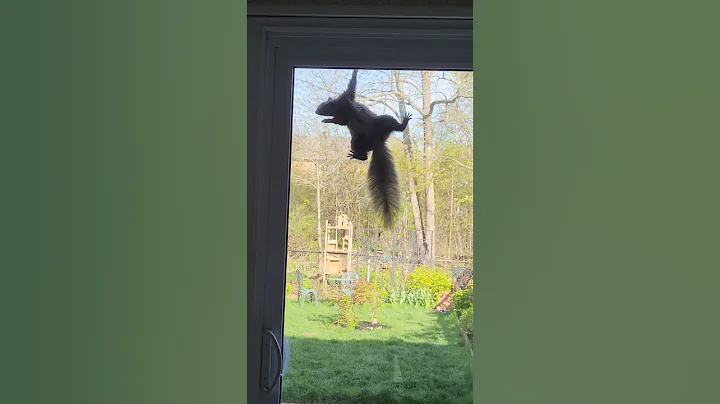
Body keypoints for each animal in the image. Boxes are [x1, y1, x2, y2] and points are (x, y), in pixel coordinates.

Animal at [314, 69, 412, 229]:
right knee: (364, 154)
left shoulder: (346, 100)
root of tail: (378, 142)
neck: (340, 108)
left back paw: (402, 123)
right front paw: (327, 120)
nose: (317, 111)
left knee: (394, 126)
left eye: (323, 104)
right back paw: (358, 155)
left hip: (383, 122)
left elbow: (351, 88)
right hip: (357, 140)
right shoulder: (342, 116)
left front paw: (355, 71)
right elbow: (339, 121)